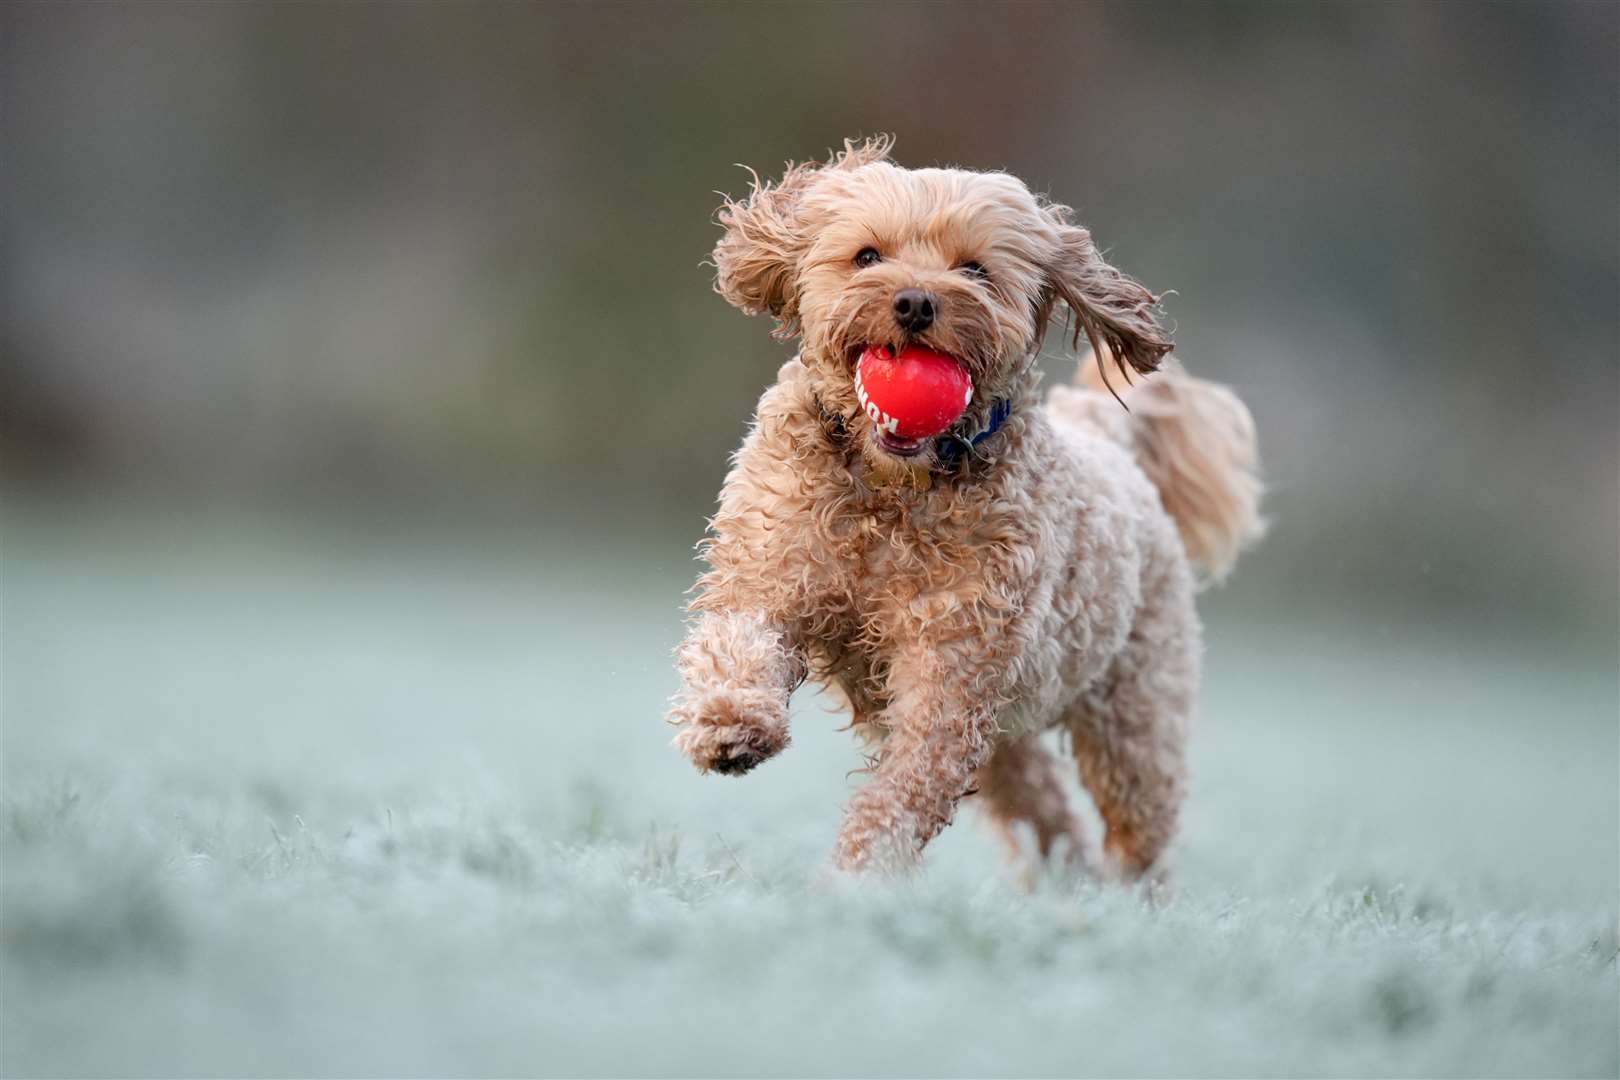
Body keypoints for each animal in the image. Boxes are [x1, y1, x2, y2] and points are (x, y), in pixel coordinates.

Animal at [664, 137, 1257, 880]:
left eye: (974, 269)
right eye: (867, 256)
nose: (915, 302)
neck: (893, 488)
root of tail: (1107, 438)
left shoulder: (954, 662)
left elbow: (910, 779)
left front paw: (858, 875)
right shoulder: (770, 569)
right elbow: (737, 639)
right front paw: (731, 726)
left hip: (1136, 708)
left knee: (1139, 825)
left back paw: (1123, 899)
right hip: (1016, 739)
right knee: (1044, 811)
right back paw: (1070, 885)